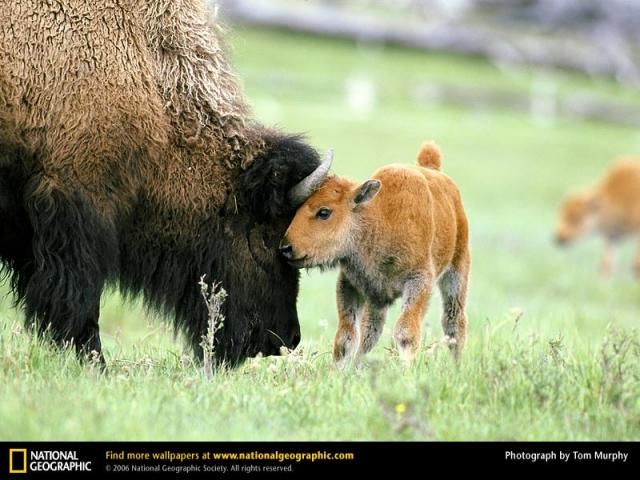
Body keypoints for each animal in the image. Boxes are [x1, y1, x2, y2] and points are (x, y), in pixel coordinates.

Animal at [280, 142, 470, 368]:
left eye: (324, 212)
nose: (286, 247)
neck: (378, 218)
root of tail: (434, 170)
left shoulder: (419, 281)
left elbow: (405, 331)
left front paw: (406, 370)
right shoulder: (352, 285)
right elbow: (346, 337)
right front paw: (338, 370)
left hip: (457, 272)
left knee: (453, 322)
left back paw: (457, 367)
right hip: (377, 298)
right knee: (370, 331)